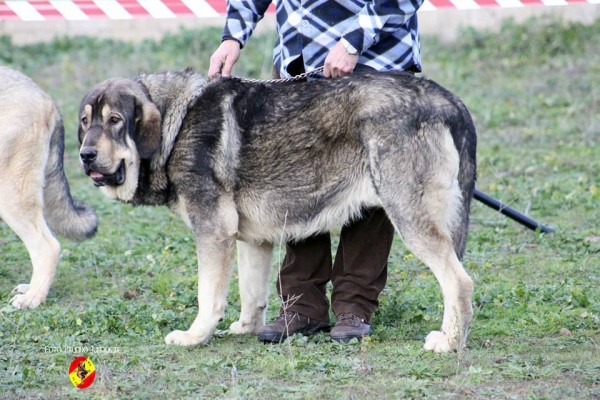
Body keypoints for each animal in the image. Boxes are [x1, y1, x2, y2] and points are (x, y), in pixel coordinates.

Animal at [77, 69, 476, 354]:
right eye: (85, 122)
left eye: (115, 120)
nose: (85, 155)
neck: (177, 122)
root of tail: (449, 100)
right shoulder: (250, 239)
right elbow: (252, 294)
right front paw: (246, 329)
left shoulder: (213, 231)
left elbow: (209, 297)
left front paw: (195, 336)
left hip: (409, 216)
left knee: (459, 283)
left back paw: (449, 343)